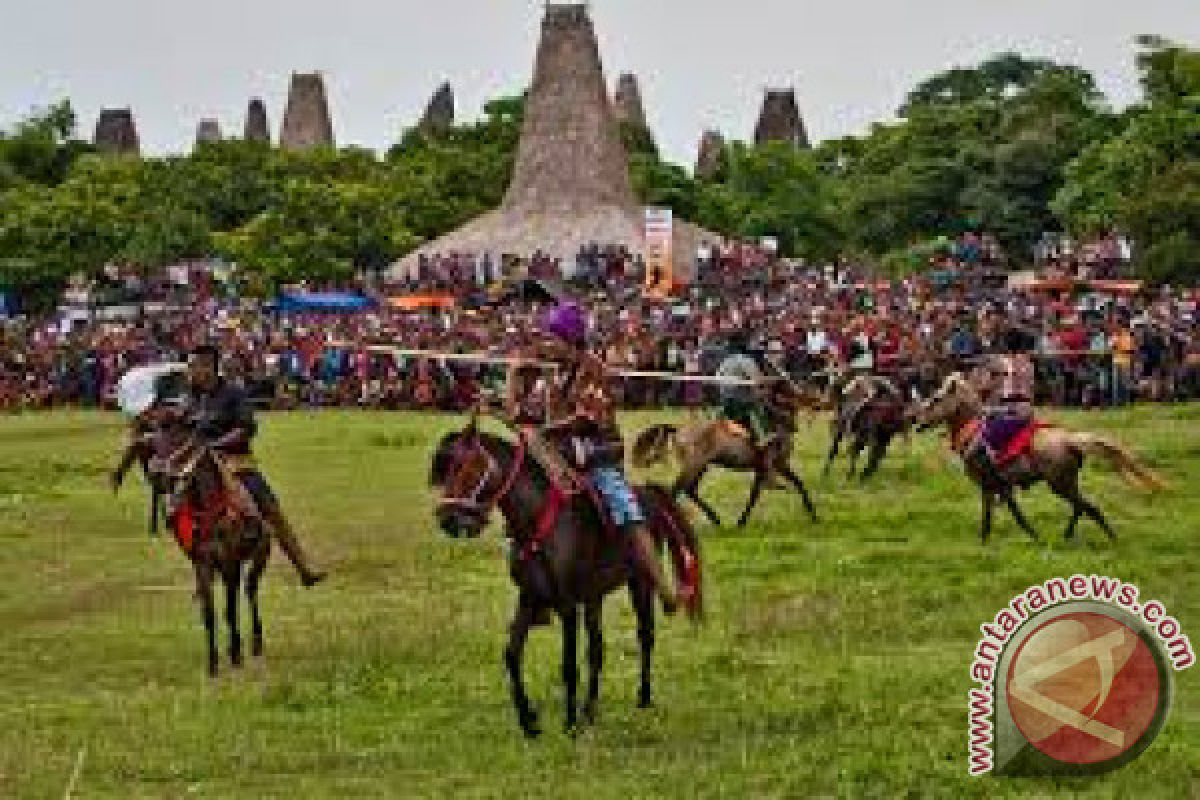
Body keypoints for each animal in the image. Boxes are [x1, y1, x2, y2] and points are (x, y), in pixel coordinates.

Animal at [114, 407, 270, 676]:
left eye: (183, 442)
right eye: (156, 440)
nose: (156, 472)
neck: (210, 511)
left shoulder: (230, 564)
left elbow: (230, 610)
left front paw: (236, 653)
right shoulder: (203, 564)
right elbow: (209, 613)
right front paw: (213, 662)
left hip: (260, 556)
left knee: (251, 591)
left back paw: (256, 642)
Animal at [429, 419, 700, 738]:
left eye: (470, 466)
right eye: (447, 468)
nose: (449, 520)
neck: (539, 521)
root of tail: (649, 494)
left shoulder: (567, 605)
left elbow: (568, 665)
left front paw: (569, 724)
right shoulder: (530, 598)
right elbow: (512, 654)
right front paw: (529, 721)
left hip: (640, 583)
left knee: (645, 636)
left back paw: (642, 697)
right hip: (595, 597)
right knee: (597, 649)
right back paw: (590, 711)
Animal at [628, 383, 816, 532]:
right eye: (788, 391)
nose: (809, 399)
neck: (777, 422)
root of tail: (679, 430)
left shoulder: (775, 466)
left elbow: (793, 485)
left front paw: (813, 514)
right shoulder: (769, 465)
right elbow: (760, 492)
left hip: (701, 466)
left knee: (690, 490)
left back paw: (716, 519)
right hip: (694, 465)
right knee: (677, 490)